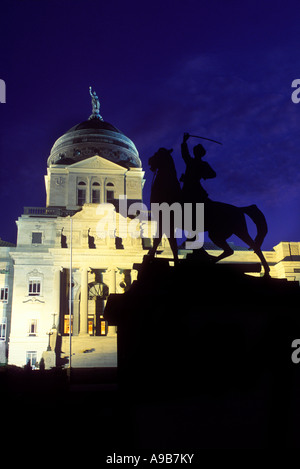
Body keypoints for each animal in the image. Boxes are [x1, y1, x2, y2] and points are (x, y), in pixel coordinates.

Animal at [147, 148, 270, 276]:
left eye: (157, 154)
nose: (149, 160)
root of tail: (238, 209)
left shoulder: (168, 224)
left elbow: (168, 244)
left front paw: (161, 259)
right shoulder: (164, 224)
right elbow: (163, 242)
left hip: (228, 232)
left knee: (250, 248)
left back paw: (266, 271)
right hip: (224, 233)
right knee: (232, 250)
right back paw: (211, 259)